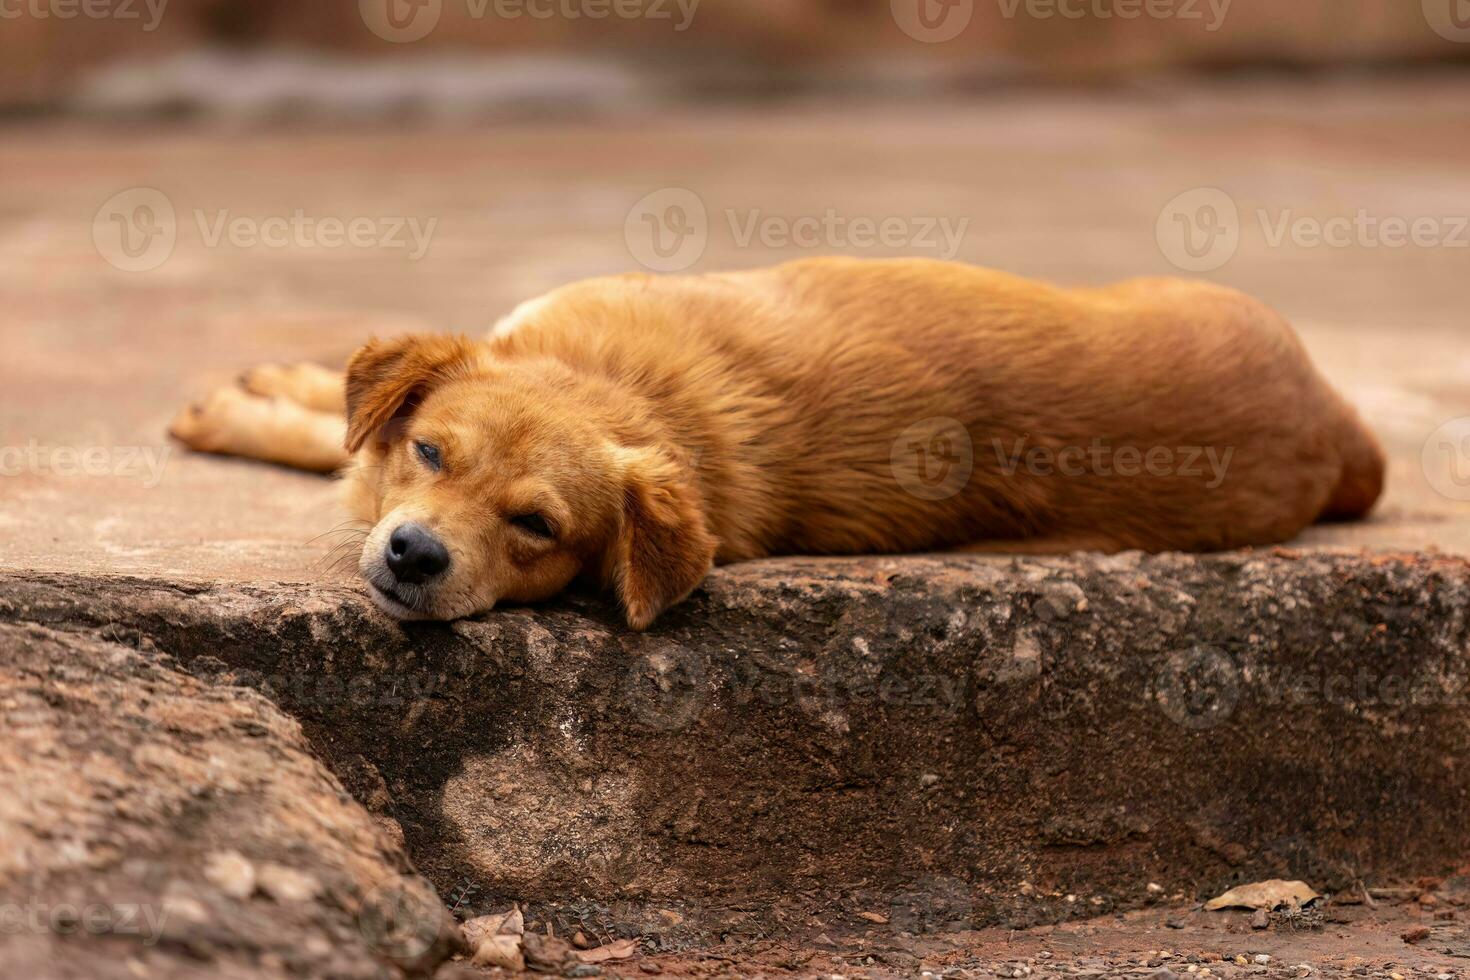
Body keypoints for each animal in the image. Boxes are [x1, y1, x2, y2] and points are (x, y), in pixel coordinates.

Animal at [166, 258, 1381, 628]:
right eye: (431, 454)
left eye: (537, 527)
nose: (416, 555)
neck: (621, 390)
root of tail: (1337, 419)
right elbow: (344, 423)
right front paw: (272, 396)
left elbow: (330, 448)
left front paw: (253, 411)